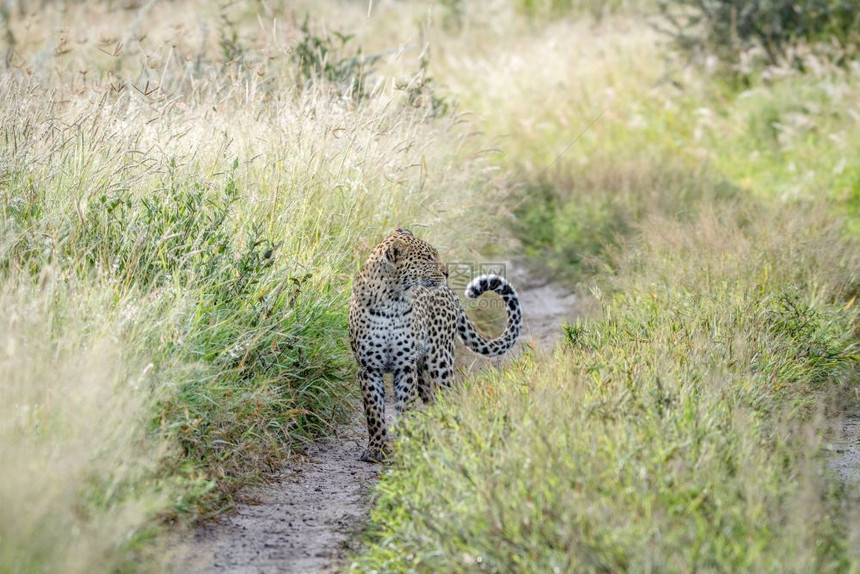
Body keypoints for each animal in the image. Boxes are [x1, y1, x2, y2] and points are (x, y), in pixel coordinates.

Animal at [346, 230, 520, 464]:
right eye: (428, 258)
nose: (446, 272)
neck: (391, 300)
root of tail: (450, 292)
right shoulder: (369, 368)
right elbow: (374, 412)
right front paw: (376, 448)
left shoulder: (405, 367)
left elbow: (406, 406)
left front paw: (405, 443)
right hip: (424, 373)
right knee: (432, 401)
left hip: (439, 362)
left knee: (448, 398)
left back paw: (449, 436)